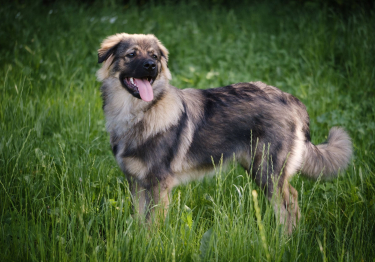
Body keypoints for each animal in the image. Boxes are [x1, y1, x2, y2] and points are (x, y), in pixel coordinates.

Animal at [95, 33, 354, 233]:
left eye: (154, 56)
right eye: (131, 55)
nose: (151, 66)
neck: (138, 113)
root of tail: (289, 99)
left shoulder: (158, 183)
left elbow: (152, 225)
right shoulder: (136, 183)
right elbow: (139, 222)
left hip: (267, 171)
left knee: (289, 203)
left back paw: (284, 240)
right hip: (256, 168)